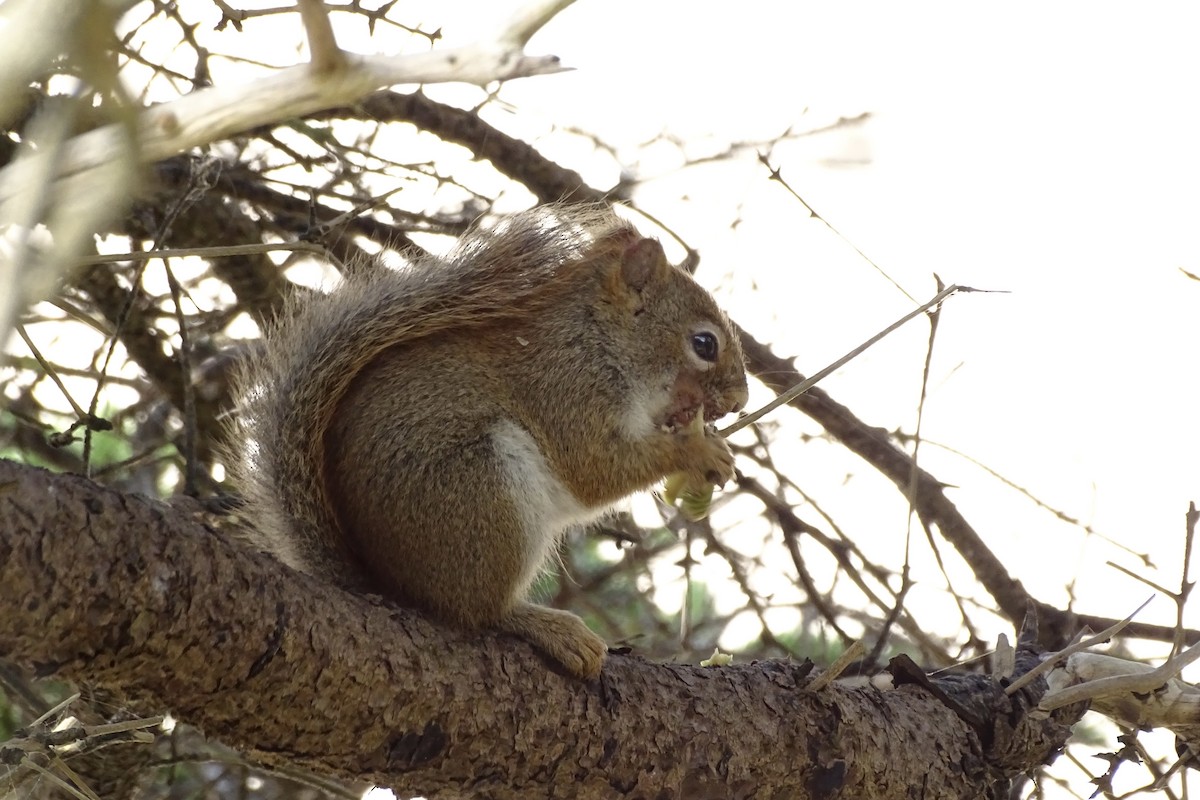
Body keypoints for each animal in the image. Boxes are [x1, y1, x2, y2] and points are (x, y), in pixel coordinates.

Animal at [228, 204, 748, 679]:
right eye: (704, 344)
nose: (741, 400)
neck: (598, 340)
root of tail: (387, 584)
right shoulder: (564, 392)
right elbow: (594, 470)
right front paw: (697, 451)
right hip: (483, 489)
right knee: (477, 611)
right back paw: (547, 626)